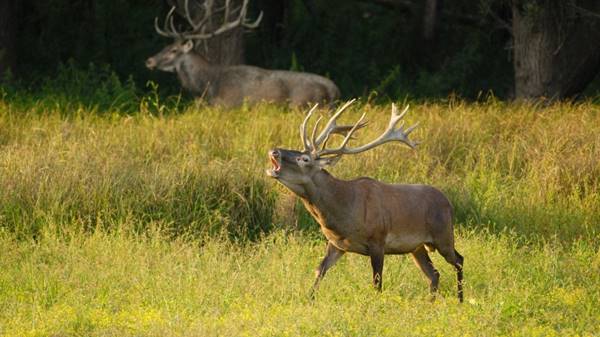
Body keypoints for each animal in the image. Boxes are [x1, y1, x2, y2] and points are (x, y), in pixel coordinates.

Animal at [146, 0, 340, 106]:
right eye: (167, 46)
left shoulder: (225, 105)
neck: (206, 87)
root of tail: (335, 91)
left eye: (173, 50)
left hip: (300, 103)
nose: (149, 60)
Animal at [266, 100, 464, 302]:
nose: (274, 151)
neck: (343, 214)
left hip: (444, 235)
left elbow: (377, 283)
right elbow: (319, 270)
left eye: (304, 159)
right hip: (418, 247)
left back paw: (460, 299)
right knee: (434, 273)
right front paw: (309, 299)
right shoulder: (336, 244)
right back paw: (431, 302)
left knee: (458, 260)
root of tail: (449, 204)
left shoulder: (378, 240)